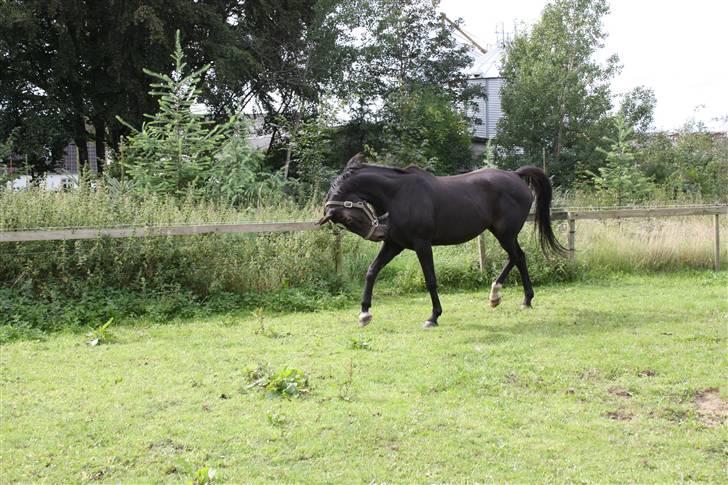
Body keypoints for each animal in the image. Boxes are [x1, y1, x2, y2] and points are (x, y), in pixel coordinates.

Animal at [318, 154, 564, 328]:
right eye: (344, 223)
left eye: (349, 217)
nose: (379, 233)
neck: (398, 195)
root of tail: (516, 175)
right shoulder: (394, 244)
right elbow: (371, 271)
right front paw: (364, 314)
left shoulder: (422, 244)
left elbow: (431, 280)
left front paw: (433, 317)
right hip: (501, 233)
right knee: (516, 257)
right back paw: (497, 296)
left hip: (506, 234)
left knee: (518, 257)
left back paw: (524, 299)